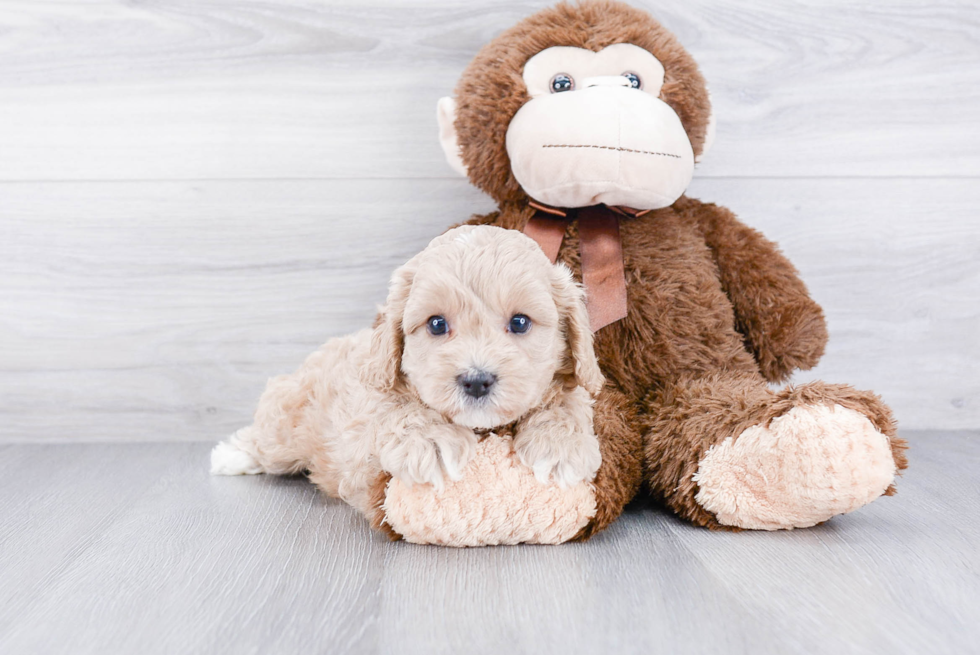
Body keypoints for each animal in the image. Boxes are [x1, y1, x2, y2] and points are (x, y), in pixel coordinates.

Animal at [211, 226, 600, 524]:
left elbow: (568, 400)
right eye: (436, 324)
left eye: (520, 322)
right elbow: (394, 409)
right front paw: (430, 440)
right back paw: (230, 455)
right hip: (288, 421)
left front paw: (559, 444)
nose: (476, 380)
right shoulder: (364, 422)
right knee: (267, 435)